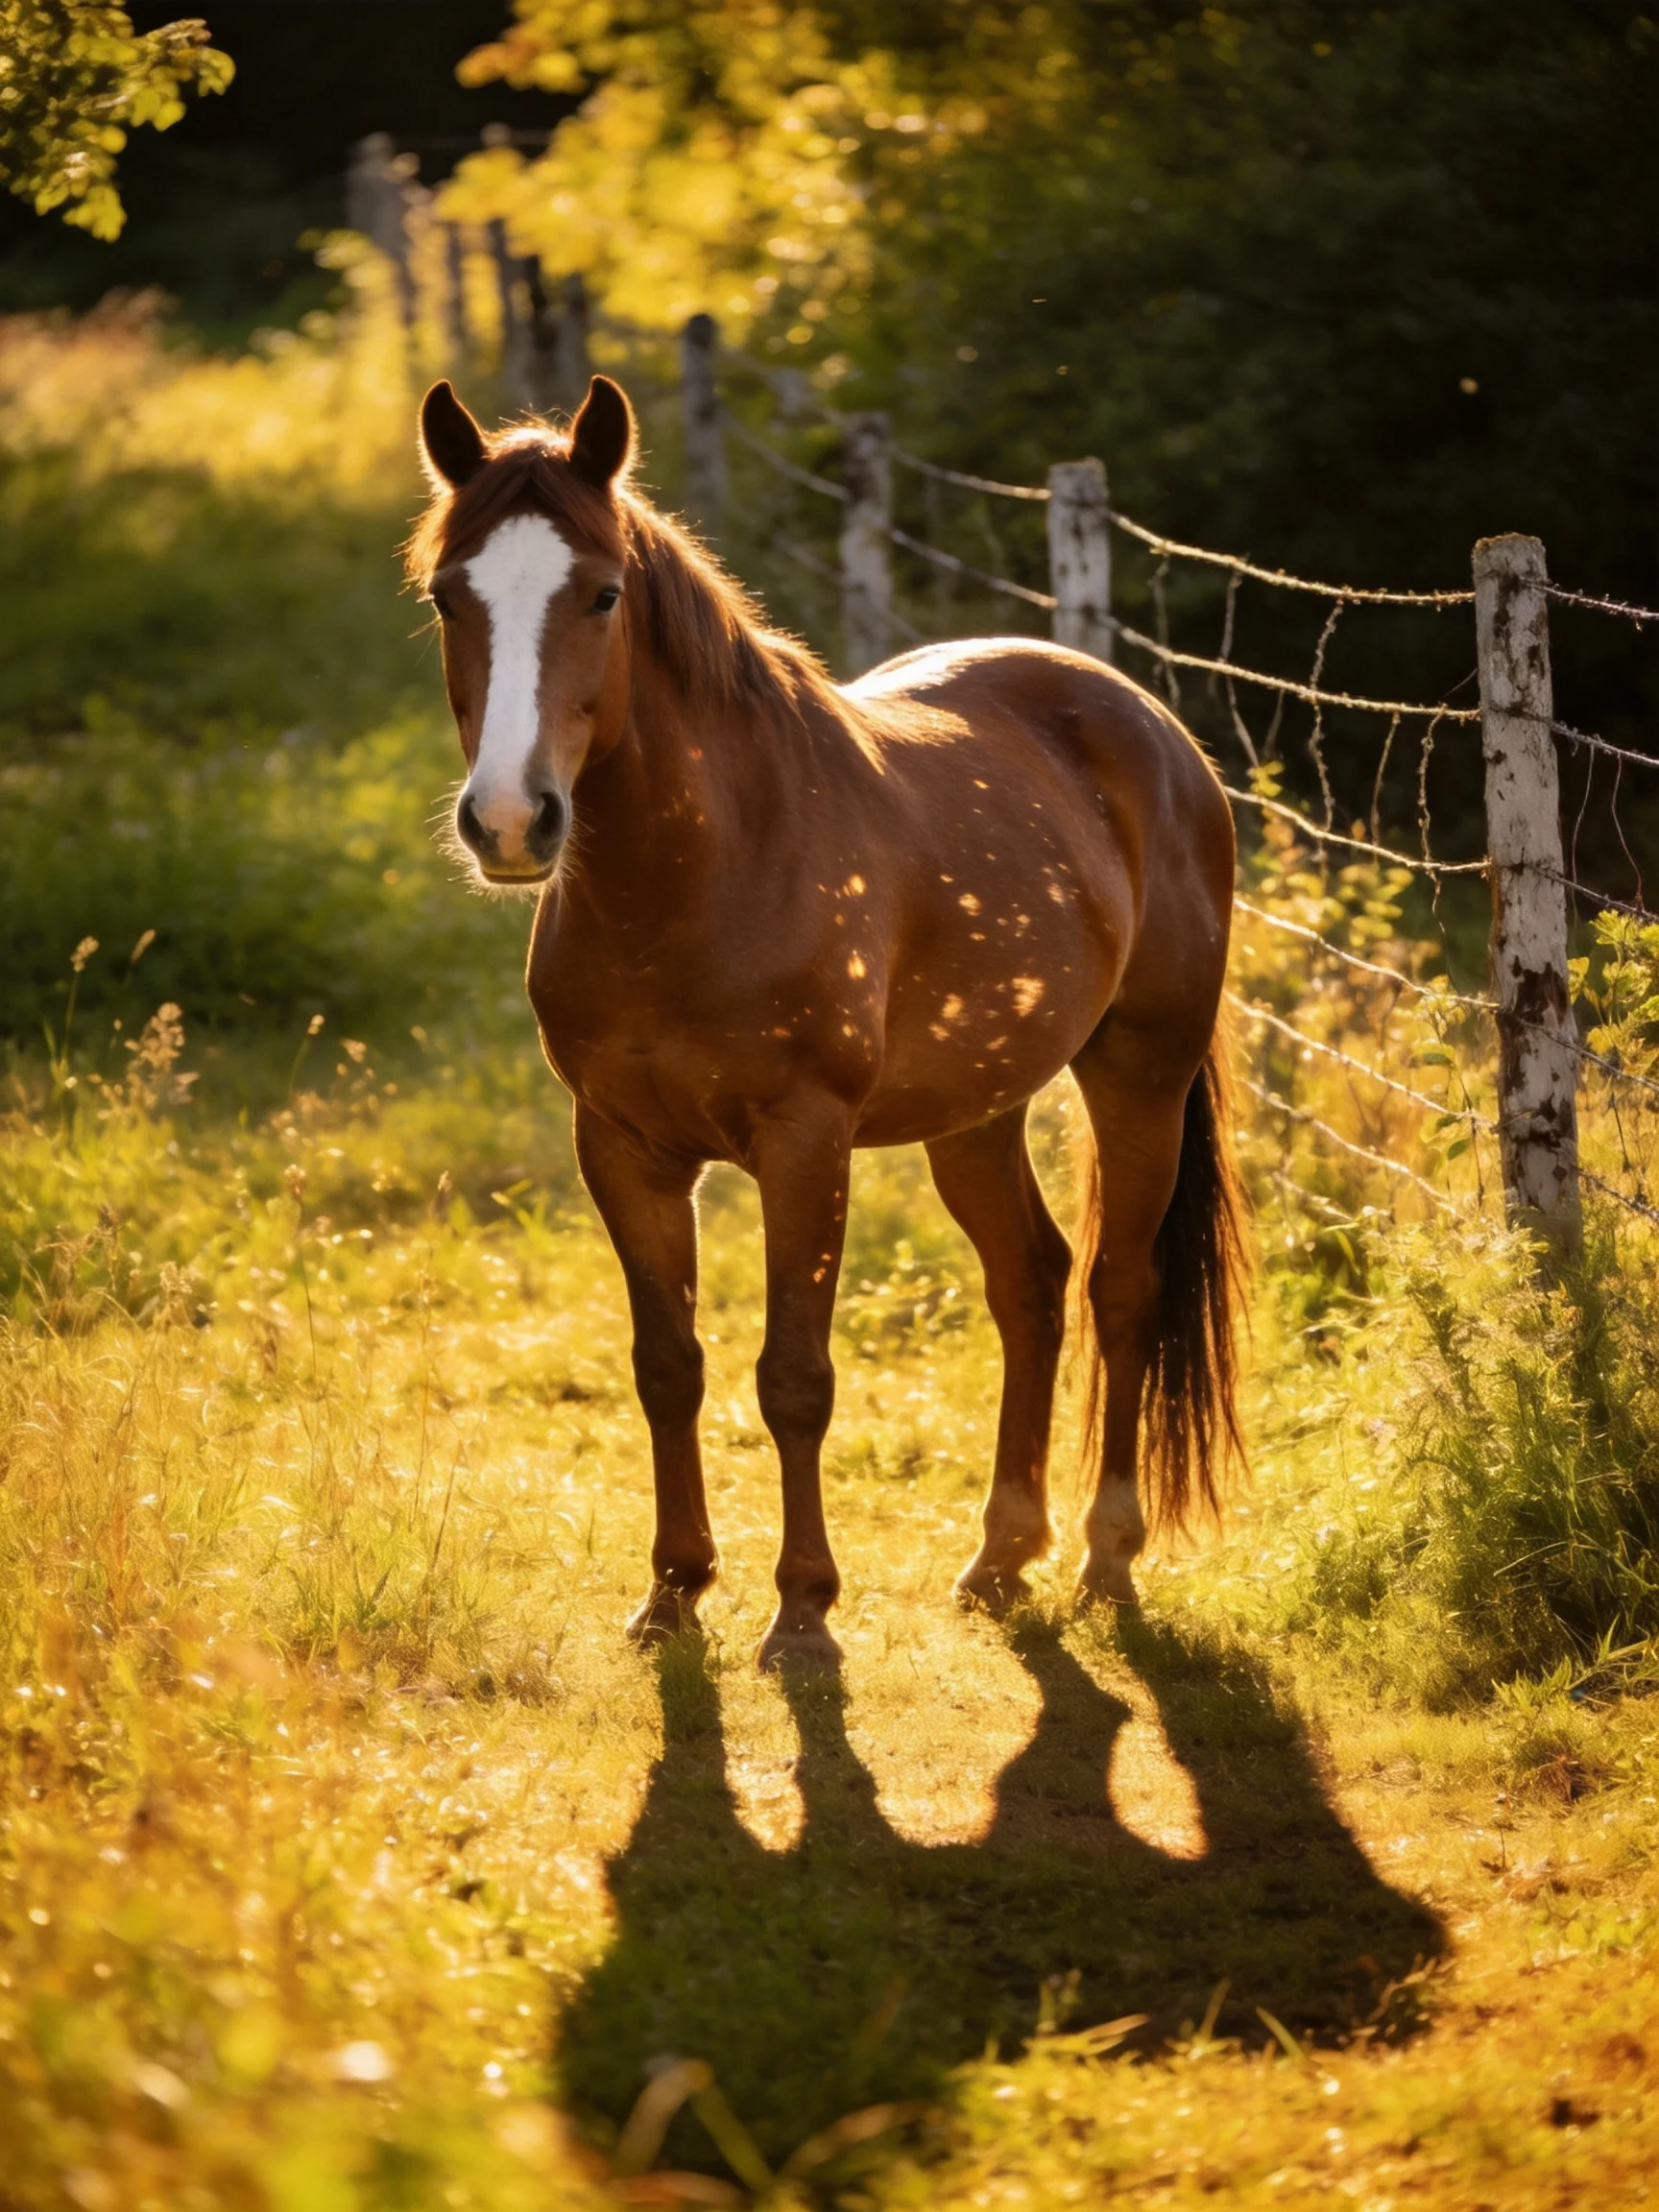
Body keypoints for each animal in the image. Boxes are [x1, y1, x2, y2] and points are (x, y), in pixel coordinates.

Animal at [408, 372, 1248, 1670]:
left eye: (602, 592)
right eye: (450, 595)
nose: (509, 821)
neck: (700, 876)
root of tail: (1152, 728)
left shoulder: (806, 1144)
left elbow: (794, 1376)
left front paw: (802, 1612)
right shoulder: (622, 1148)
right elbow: (668, 1367)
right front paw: (674, 1592)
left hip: (1139, 1078)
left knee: (1122, 1289)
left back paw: (1107, 1560)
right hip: (977, 1110)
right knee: (1032, 1283)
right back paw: (1000, 1557)